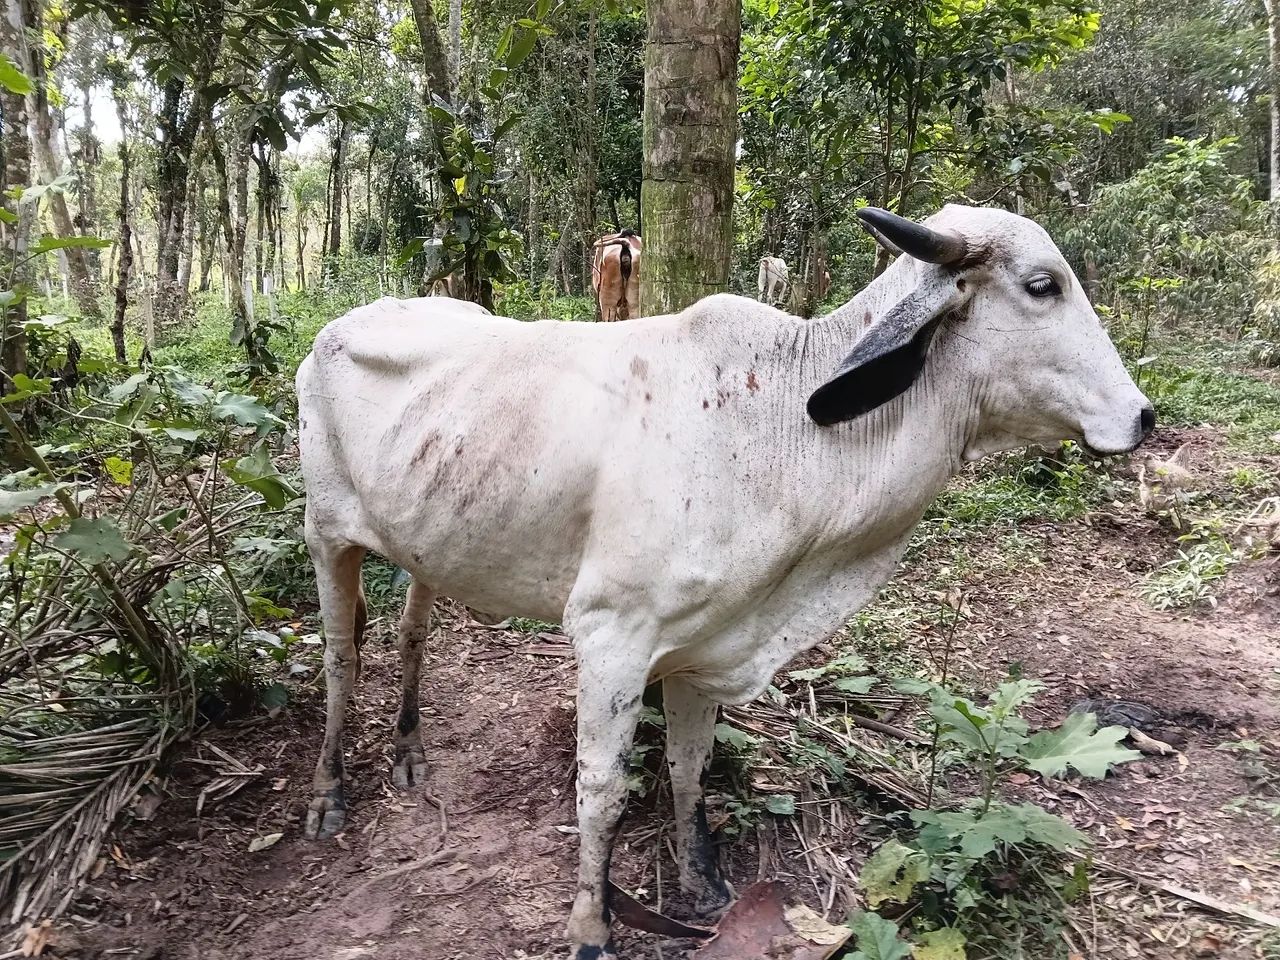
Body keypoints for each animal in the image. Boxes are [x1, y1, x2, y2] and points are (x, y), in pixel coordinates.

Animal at [296, 204, 1154, 960]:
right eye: (1042, 285)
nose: (1143, 417)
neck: (781, 423)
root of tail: (340, 327)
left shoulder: (706, 644)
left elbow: (688, 765)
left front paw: (702, 881)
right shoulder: (610, 636)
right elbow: (601, 792)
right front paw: (592, 928)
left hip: (425, 539)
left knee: (414, 631)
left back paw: (408, 751)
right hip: (325, 531)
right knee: (341, 656)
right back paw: (327, 792)